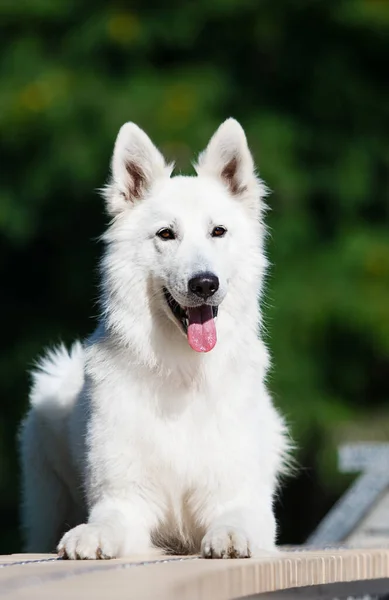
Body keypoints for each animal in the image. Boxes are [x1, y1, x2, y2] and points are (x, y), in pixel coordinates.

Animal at [19, 119, 288, 560]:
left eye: (218, 231)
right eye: (166, 234)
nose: (204, 284)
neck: (183, 372)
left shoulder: (239, 497)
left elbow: (237, 518)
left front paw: (230, 535)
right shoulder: (125, 498)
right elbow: (107, 520)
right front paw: (90, 535)